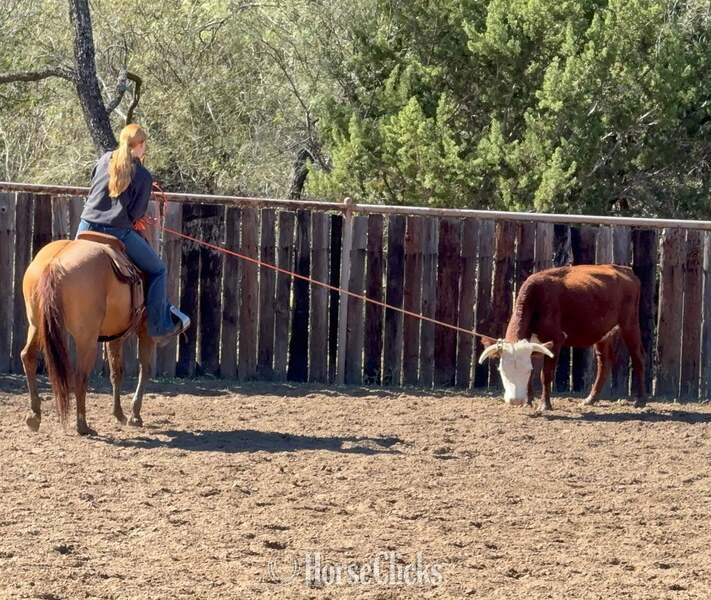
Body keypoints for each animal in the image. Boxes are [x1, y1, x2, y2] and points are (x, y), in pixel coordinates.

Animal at [21, 235, 154, 435]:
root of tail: (54, 263)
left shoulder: (115, 335)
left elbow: (116, 372)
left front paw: (119, 414)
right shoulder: (145, 329)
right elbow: (143, 368)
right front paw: (135, 415)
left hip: (36, 325)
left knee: (28, 356)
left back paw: (34, 415)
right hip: (87, 340)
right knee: (80, 376)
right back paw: (82, 425)